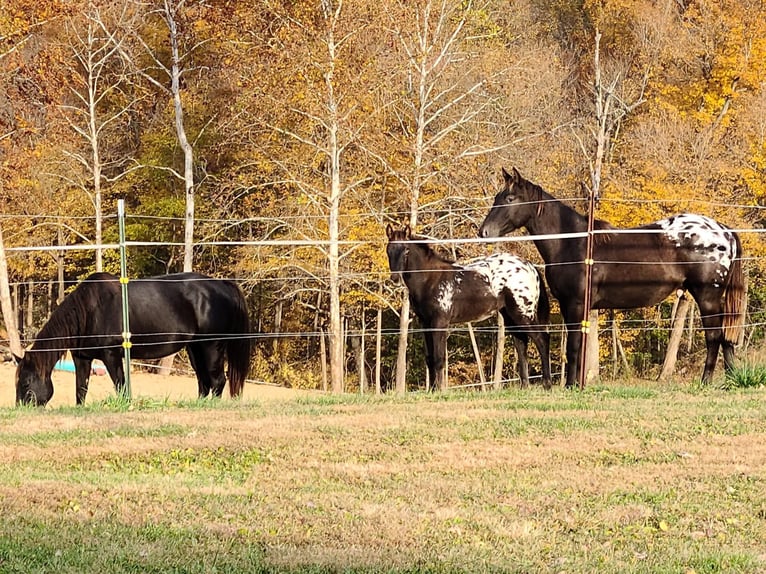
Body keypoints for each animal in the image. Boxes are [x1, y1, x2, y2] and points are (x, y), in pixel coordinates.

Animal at [15, 274, 252, 404]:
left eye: (26, 382)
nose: (22, 408)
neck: (90, 311)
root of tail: (223, 285)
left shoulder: (111, 355)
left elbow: (120, 386)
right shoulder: (82, 358)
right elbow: (80, 390)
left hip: (212, 346)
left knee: (217, 381)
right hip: (195, 348)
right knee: (204, 382)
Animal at [390, 224, 552, 392]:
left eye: (406, 250)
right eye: (389, 250)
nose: (395, 278)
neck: (431, 279)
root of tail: (530, 266)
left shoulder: (440, 323)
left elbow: (439, 358)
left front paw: (439, 391)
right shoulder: (425, 323)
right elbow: (429, 359)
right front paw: (432, 390)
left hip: (524, 314)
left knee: (542, 339)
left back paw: (547, 383)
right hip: (510, 315)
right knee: (521, 344)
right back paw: (524, 386)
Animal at [476, 169, 748, 390]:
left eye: (510, 199)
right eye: (498, 197)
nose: (483, 232)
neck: (573, 243)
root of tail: (724, 231)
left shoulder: (575, 304)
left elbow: (573, 346)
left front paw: (571, 386)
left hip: (707, 296)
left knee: (713, 336)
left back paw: (706, 381)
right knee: (725, 336)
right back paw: (731, 378)